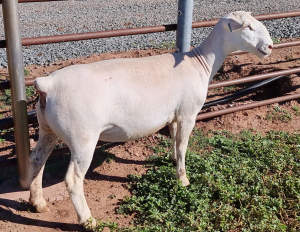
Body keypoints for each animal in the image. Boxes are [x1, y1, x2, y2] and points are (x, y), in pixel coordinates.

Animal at [28, 11, 274, 227]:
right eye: (248, 27)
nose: (270, 46)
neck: (200, 63)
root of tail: (48, 85)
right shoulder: (188, 113)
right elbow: (183, 144)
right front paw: (183, 179)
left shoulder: (174, 114)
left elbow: (174, 138)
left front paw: (173, 161)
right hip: (82, 135)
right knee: (73, 179)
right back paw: (88, 221)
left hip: (47, 128)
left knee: (37, 160)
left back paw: (38, 203)